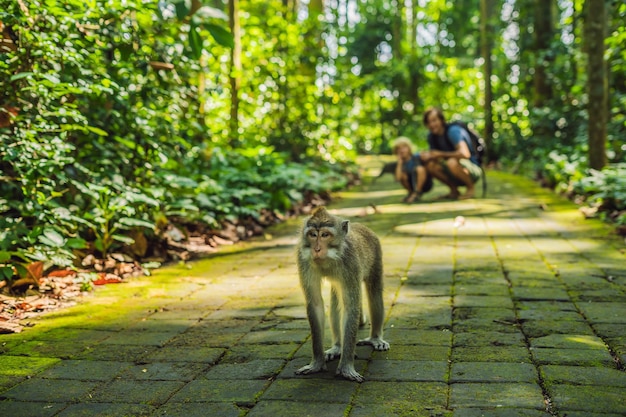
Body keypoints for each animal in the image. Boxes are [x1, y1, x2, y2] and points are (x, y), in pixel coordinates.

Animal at [294, 206, 388, 382]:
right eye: (312, 234)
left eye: (325, 235)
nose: (316, 249)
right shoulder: (303, 260)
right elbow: (315, 304)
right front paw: (317, 364)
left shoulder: (350, 263)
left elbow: (351, 307)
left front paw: (346, 368)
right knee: (336, 301)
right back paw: (337, 347)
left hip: (376, 256)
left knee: (374, 292)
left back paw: (375, 338)